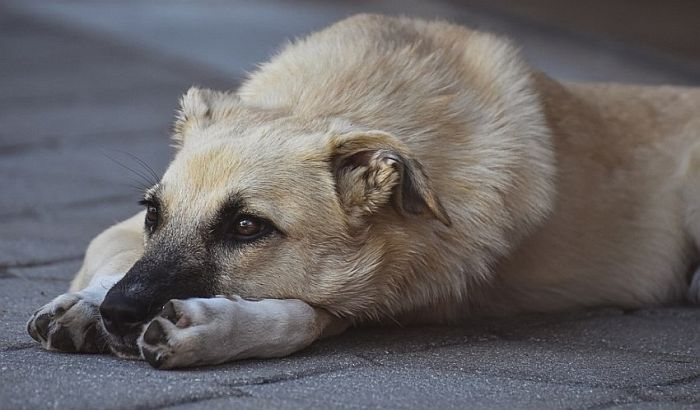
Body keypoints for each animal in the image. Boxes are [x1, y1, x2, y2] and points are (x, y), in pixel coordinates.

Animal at [24, 15, 696, 368]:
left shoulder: (373, 299)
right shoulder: (116, 232)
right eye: (153, 214)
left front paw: (209, 329)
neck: (336, 100)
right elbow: (116, 262)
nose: (119, 317)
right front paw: (86, 303)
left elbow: (299, 318)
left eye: (247, 227)